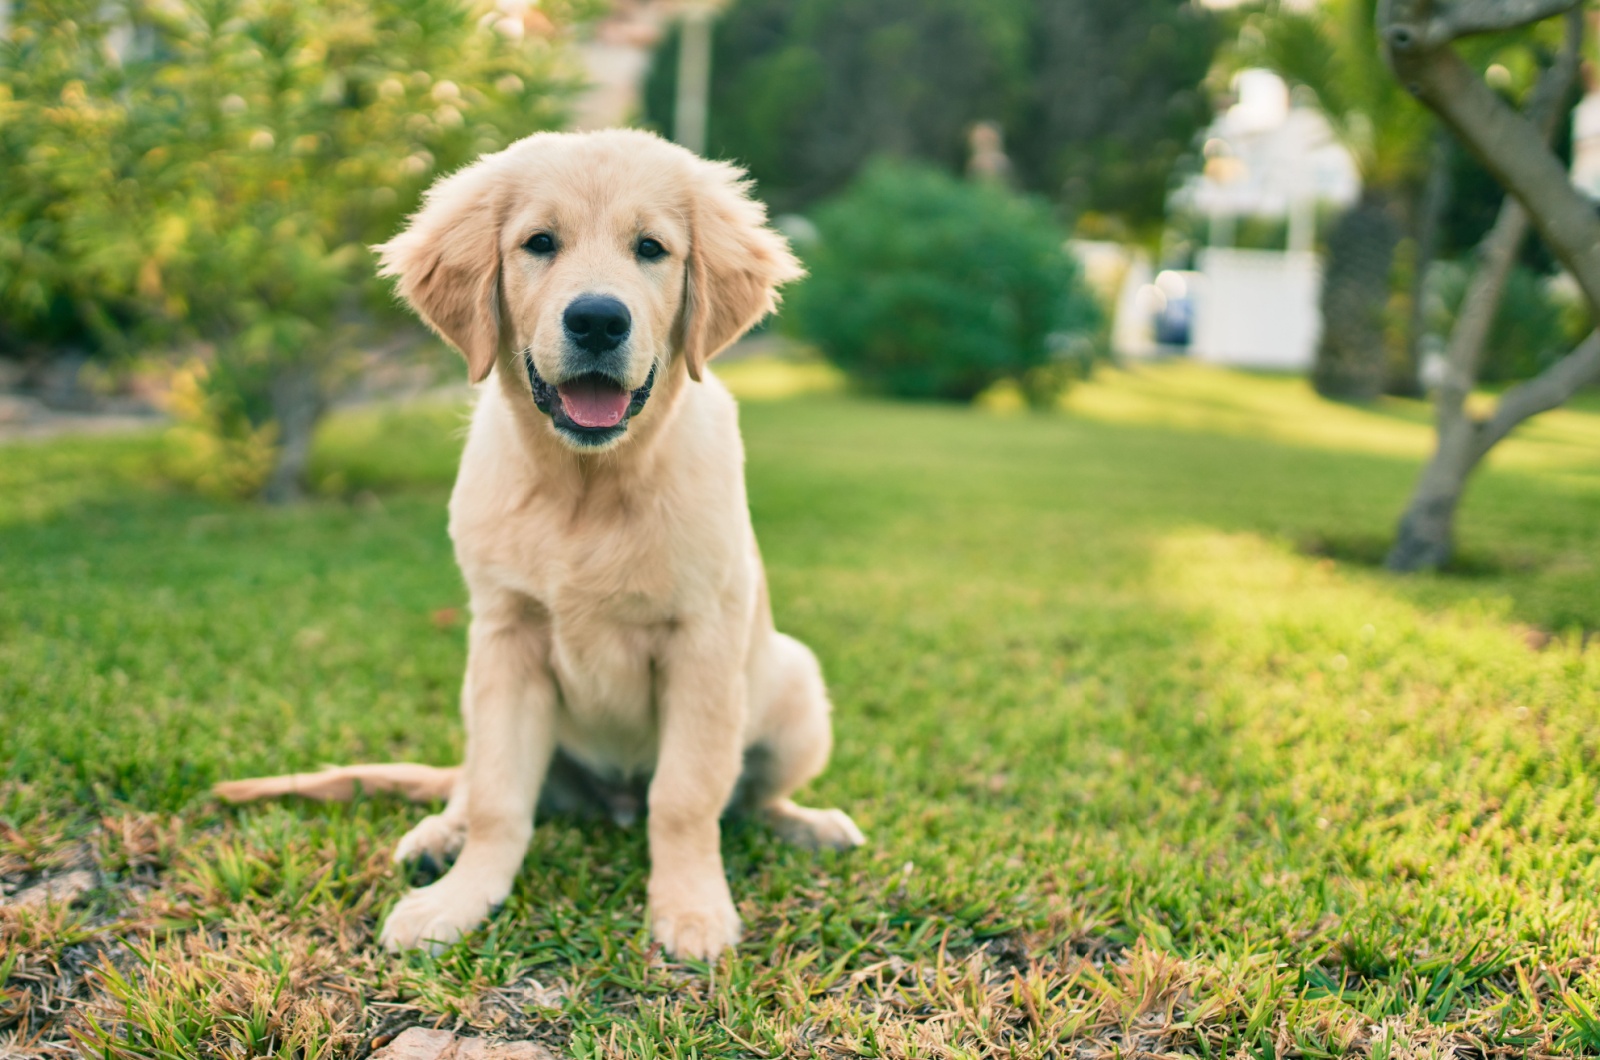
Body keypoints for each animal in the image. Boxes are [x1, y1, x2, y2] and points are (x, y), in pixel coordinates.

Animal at [216, 130, 864, 960]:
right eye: (540, 244)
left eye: (651, 248)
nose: (597, 321)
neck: (585, 488)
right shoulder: (507, 636)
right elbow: (500, 798)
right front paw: (459, 900)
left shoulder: (702, 641)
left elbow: (687, 794)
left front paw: (690, 909)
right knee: (471, 782)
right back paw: (438, 836)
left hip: (795, 689)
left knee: (747, 799)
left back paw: (810, 825)